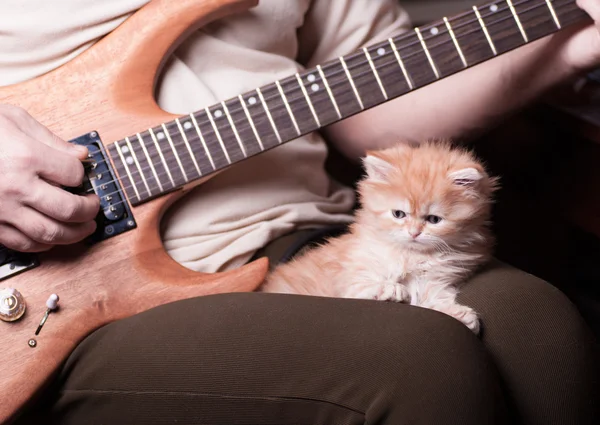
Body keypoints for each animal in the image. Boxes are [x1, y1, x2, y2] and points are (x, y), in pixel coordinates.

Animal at [260, 141, 500, 332]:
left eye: (433, 219)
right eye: (399, 214)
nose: (414, 233)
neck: (411, 256)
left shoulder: (435, 281)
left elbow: (433, 299)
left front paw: (458, 314)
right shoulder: (350, 278)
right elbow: (367, 285)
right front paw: (392, 289)